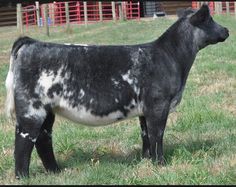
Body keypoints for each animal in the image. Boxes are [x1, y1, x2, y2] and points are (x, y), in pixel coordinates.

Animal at [4, 5, 228, 179]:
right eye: (209, 19)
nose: (226, 29)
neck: (170, 56)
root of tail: (31, 42)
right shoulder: (158, 105)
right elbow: (157, 134)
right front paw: (160, 164)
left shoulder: (145, 109)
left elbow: (145, 134)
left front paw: (146, 160)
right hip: (31, 110)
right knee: (23, 142)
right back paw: (23, 176)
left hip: (48, 110)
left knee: (43, 138)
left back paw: (55, 171)